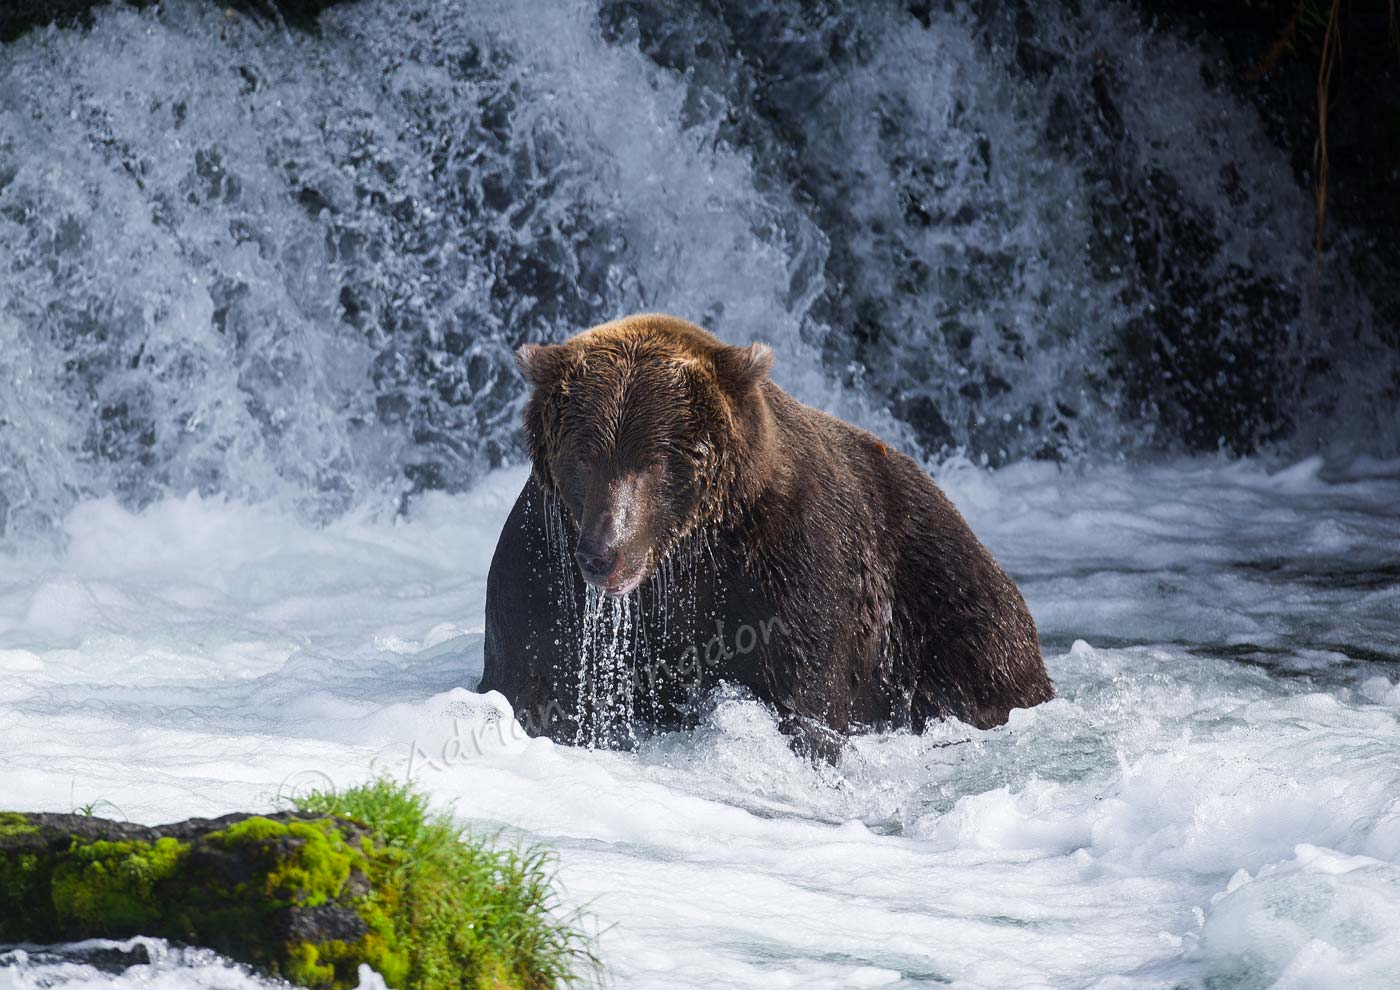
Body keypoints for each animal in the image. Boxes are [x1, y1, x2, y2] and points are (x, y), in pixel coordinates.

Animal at [480, 313, 1053, 750]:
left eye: (655, 460)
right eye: (584, 456)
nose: (605, 554)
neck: (686, 557)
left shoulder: (793, 555)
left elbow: (805, 684)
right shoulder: (543, 562)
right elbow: (529, 678)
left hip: (946, 602)